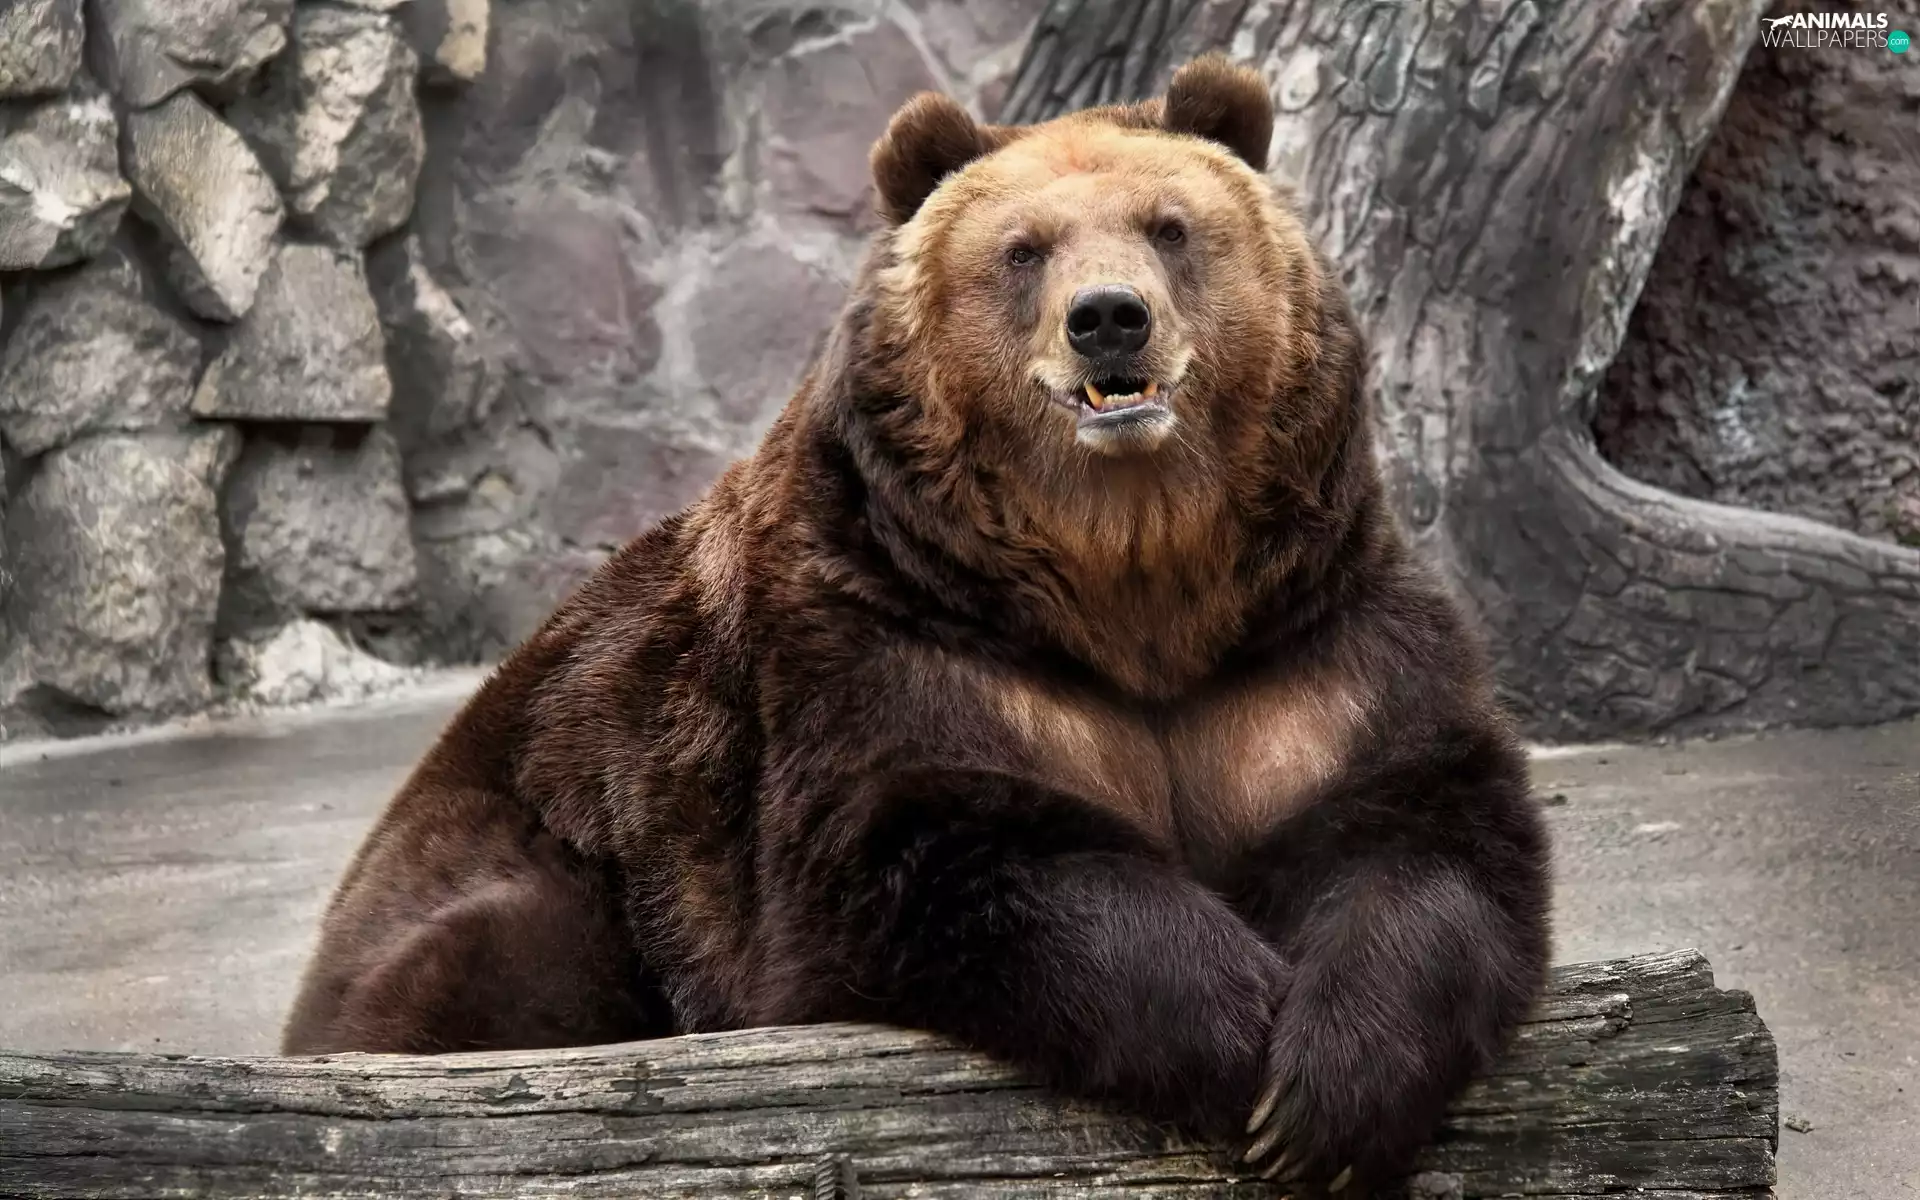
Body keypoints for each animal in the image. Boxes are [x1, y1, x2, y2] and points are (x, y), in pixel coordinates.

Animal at [282, 55, 1551, 1194]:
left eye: (1171, 227)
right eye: (1024, 249)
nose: (1108, 319)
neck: (1134, 585)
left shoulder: (1303, 647)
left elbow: (1421, 830)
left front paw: (1327, 1093)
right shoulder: (894, 637)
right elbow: (943, 852)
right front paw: (1238, 1033)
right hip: (543, 855)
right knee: (495, 962)